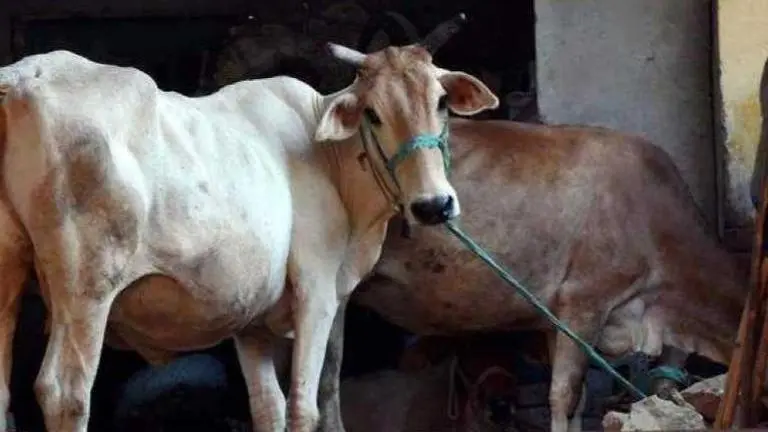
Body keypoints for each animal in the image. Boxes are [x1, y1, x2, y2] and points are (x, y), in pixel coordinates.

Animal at [0, 18, 499, 432]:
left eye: (441, 102)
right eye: (373, 113)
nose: (434, 205)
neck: (330, 160)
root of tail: (20, 78)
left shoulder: (251, 319)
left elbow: (269, 407)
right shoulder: (317, 289)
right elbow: (305, 406)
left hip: (11, 276)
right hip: (87, 286)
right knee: (65, 393)